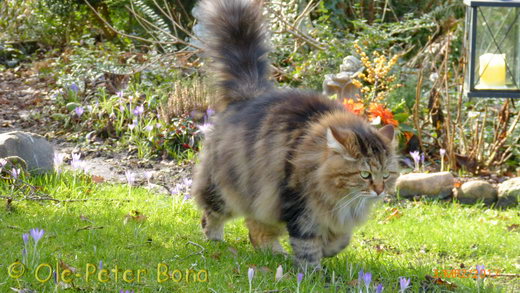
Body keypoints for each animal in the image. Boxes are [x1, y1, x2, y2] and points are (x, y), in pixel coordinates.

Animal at [191, 0, 398, 268]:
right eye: (365, 175)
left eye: (387, 174)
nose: (379, 190)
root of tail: (249, 97)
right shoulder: (300, 207)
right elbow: (308, 243)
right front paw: (312, 270)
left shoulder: (337, 216)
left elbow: (341, 239)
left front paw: (328, 250)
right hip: (227, 188)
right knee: (211, 214)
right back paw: (216, 242)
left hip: (262, 198)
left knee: (256, 229)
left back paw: (274, 254)